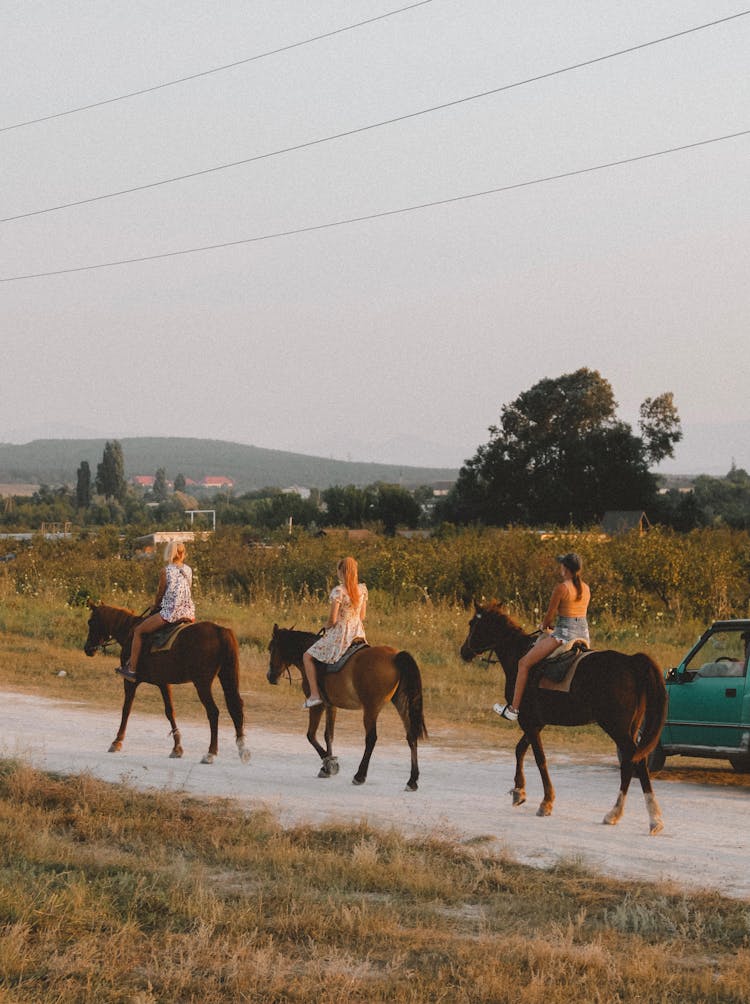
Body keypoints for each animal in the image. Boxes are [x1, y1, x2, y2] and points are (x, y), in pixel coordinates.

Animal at [83, 598, 251, 763]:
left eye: (90, 622)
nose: (87, 648)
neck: (129, 630)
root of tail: (220, 631)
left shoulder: (130, 682)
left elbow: (126, 709)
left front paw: (117, 741)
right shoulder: (164, 683)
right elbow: (170, 712)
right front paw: (177, 748)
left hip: (202, 684)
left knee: (213, 712)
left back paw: (210, 753)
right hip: (227, 677)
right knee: (236, 707)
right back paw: (242, 749)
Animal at [269, 622, 427, 787]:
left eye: (270, 648)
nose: (270, 676)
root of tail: (395, 656)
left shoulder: (318, 705)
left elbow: (311, 735)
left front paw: (329, 763)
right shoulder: (331, 705)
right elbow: (328, 735)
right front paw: (327, 765)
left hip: (371, 708)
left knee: (371, 738)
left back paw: (360, 775)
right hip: (402, 703)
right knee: (411, 736)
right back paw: (412, 780)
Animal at [459, 602, 666, 831]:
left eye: (472, 623)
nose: (464, 651)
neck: (519, 654)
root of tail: (631, 662)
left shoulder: (528, 721)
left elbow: (539, 759)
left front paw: (546, 801)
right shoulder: (536, 722)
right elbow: (520, 750)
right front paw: (519, 791)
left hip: (616, 727)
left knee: (636, 760)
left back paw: (652, 818)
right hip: (630, 727)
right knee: (630, 761)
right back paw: (615, 813)